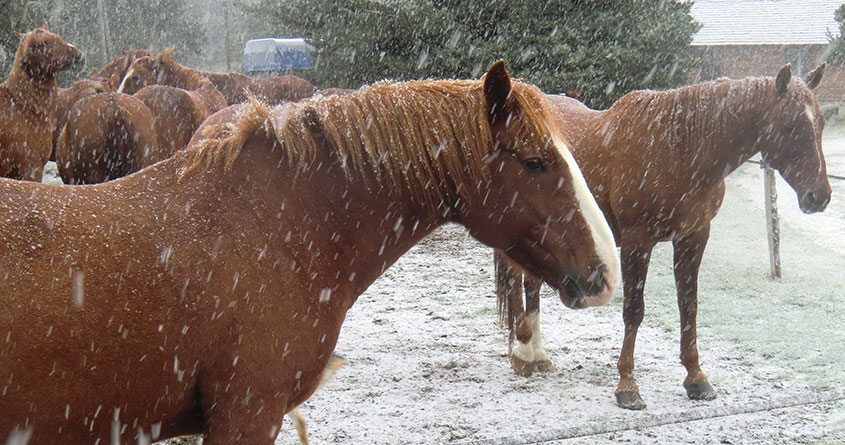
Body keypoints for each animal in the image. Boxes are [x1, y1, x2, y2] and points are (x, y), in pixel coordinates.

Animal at [494, 63, 832, 410]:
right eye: (790, 126)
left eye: (820, 123)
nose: (819, 196)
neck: (677, 149)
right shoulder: (637, 242)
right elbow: (634, 310)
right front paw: (627, 385)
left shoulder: (693, 237)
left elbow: (689, 305)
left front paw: (696, 378)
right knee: (520, 284)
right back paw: (524, 354)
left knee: (532, 284)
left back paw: (539, 355)